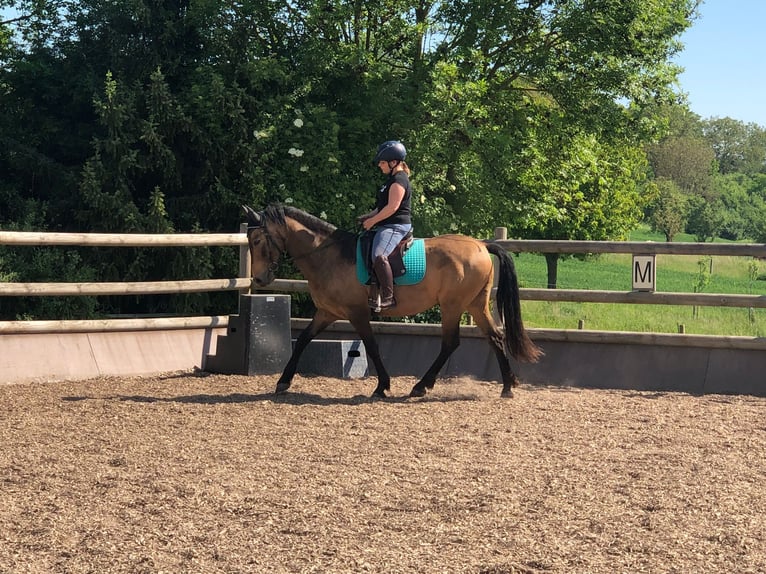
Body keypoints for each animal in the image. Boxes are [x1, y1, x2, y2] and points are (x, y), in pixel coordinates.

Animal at [243, 206, 544, 400]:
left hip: (452, 306)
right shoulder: (327, 312)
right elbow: (303, 339)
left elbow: (372, 346)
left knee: (451, 343)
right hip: (475, 305)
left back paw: (421, 386)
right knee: (495, 337)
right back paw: (507, 386)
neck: (328, 256)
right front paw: (283, 381)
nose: (259, 278)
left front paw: (382, 386)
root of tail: (481, 245)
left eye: (257, 240)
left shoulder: (357, 312)